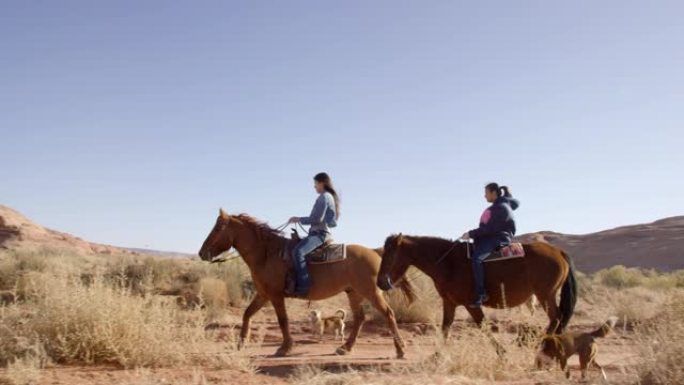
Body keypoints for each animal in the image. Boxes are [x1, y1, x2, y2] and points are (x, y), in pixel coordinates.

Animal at [198, 210, 416, 356]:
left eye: (218, 228)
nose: (201, 253)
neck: (267, 254)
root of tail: (374, 251)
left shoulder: (275, 296)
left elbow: (283, 320)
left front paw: (285, 348)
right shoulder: (264, 294)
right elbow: (247, 314)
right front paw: (241, 343)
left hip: (371, 292)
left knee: (388, 314)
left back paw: (400, 350)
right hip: (353, 292)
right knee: (360, 318)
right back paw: (345, 348)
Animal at [376, 231, 576, 336]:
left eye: (390, 255)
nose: (380, 282)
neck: (448, 263)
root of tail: (559, 252)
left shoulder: (471, 304)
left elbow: (483, 327)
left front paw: (502, 355)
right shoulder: (450, 303)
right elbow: (445, 328)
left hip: (545, 295)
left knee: (556, 318)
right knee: (558, 319)